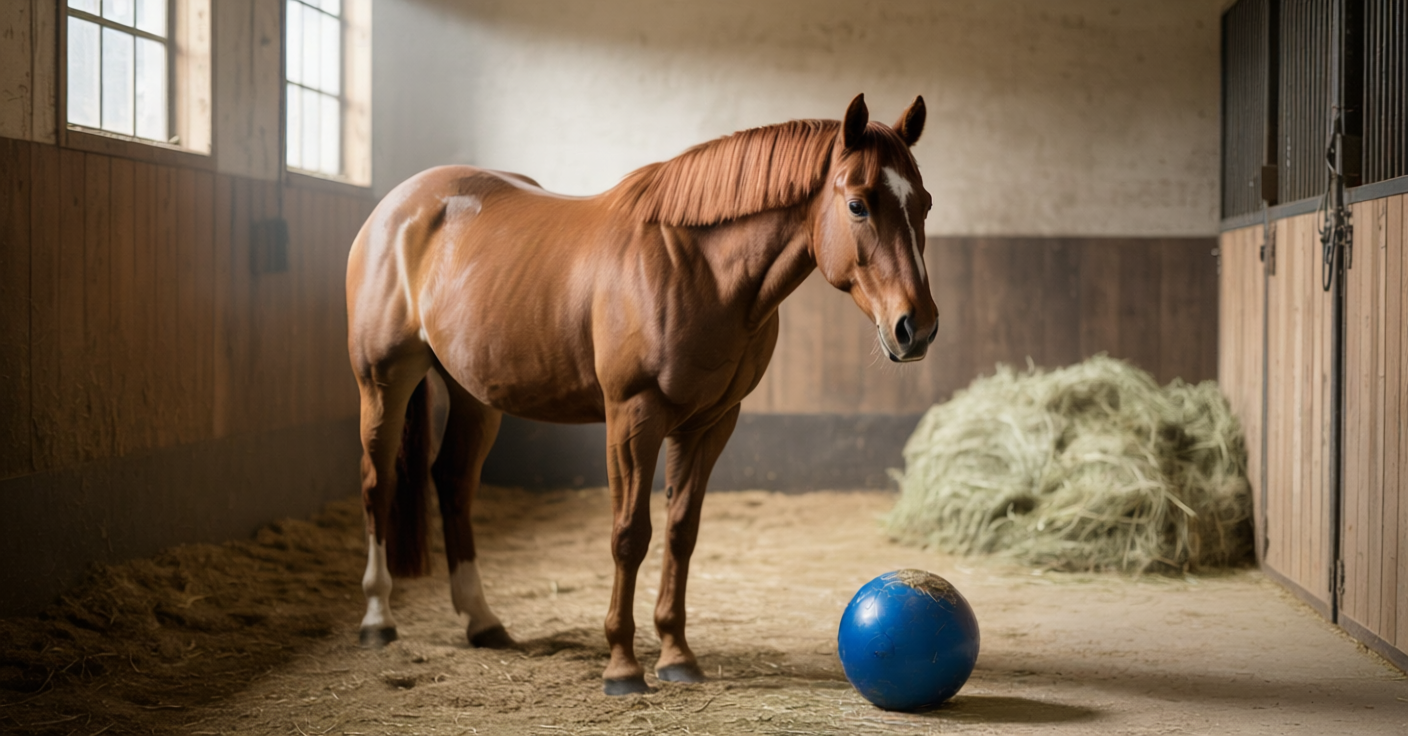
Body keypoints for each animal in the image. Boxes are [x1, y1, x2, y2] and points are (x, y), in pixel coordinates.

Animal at [345, 93, 938, 695]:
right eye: (859, 205)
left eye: (925, 204)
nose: (917, 328)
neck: (696, 268)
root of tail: (397, 207)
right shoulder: (633, 418)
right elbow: (630, 534)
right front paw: (622, 666)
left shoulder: (709, 424)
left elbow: (681, 532)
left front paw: (676, 655)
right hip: (383, 380)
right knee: (377, 482)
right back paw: (377, 619)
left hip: (473, 396)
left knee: (453, 483)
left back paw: (483, 622)